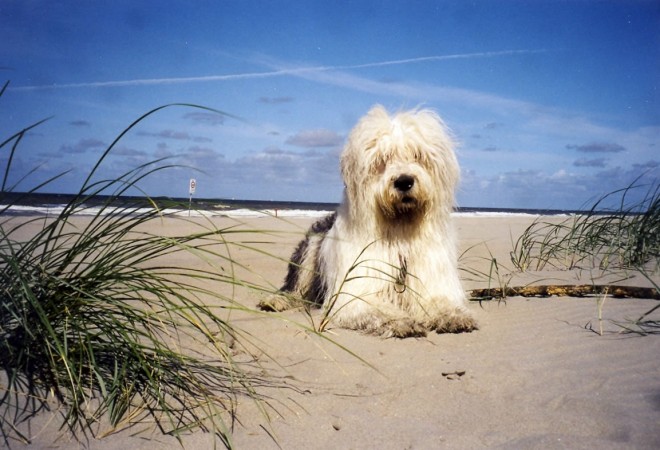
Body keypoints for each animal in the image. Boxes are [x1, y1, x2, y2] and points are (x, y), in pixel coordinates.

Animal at [260, 105, 480, 338]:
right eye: (382, 160)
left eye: (418, 155)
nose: (404, 181)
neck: (399, 234)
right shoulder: (356, 290)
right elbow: (375, 307)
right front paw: (401, 321)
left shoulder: (431, 281)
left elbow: (439, 301)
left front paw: (453, 316)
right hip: (309, 253)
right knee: (294, 288)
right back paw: (275, 301)